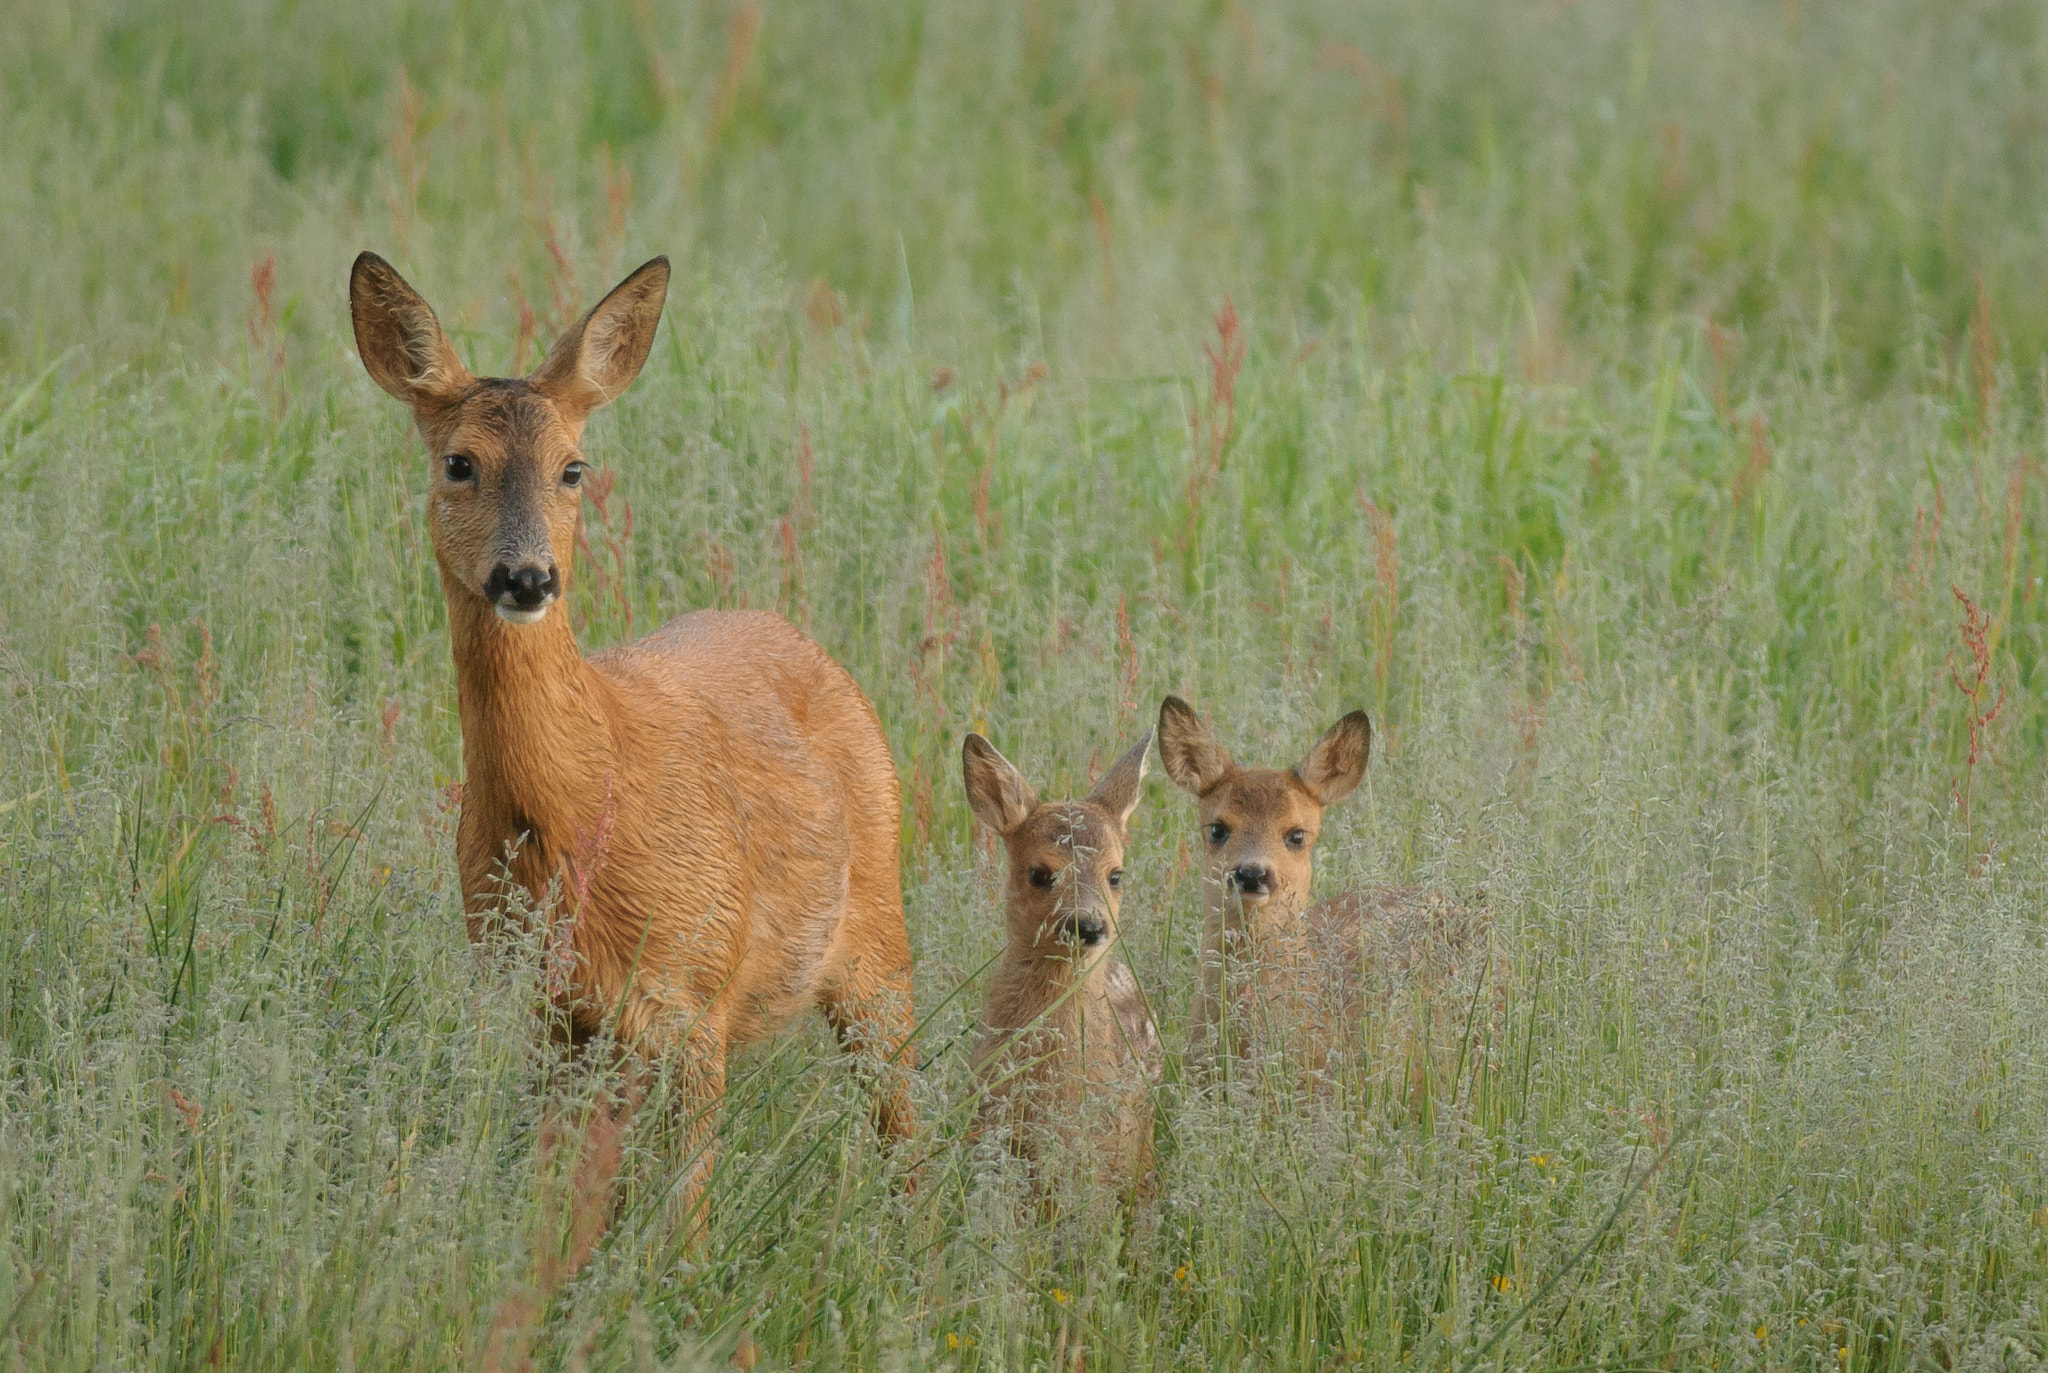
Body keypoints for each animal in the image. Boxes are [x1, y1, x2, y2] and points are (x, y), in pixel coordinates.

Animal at [350, 253, 913, 1254]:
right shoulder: (547, 1013)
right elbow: (564, 1209)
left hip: (879, 935)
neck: (578, 818)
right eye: (459, 462)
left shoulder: (696, 992)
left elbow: (685, 1217)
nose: (527, 575)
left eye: (574, 467)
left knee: (907, 1118)